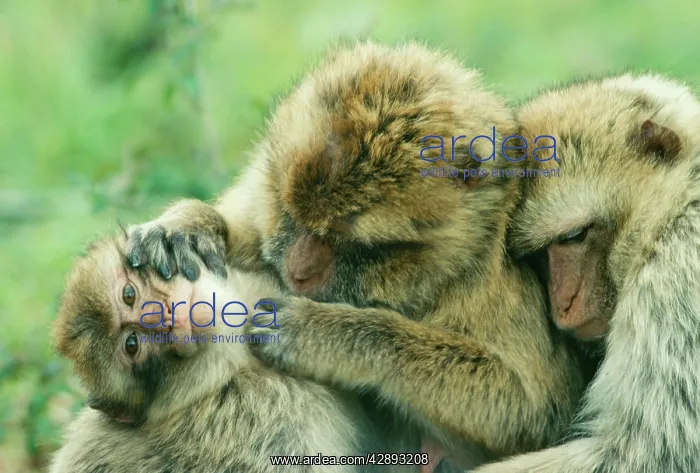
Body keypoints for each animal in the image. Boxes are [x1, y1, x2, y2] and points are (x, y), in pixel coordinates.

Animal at [121, 41, 589, 471]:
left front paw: (328, 334)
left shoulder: (494, 274)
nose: (298, 272)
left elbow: (532, 411)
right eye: (291, 214)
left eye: (356, 245)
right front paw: (189, 227)